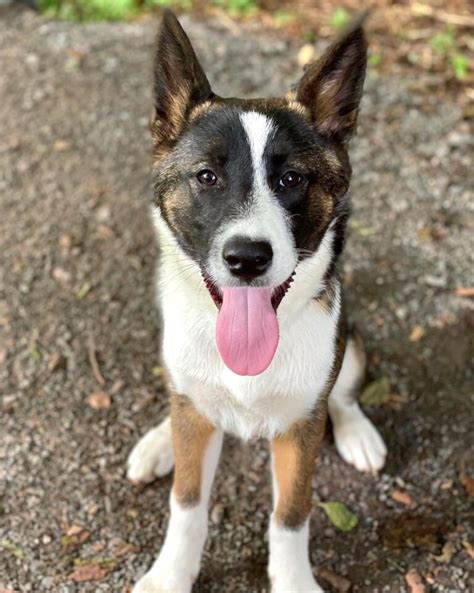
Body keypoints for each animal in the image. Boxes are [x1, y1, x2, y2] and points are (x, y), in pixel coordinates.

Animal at [128, 10, 386, 592]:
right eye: (207, 176)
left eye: (292, 178)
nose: (247, 258)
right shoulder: (195, 424)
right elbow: (186, 504)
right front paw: (169, 574)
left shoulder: (299, 431)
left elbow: (291, 516)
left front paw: (293, 582)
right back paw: (158, 440)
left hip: (351, 336)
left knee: (342, 391)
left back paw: (357, 430)